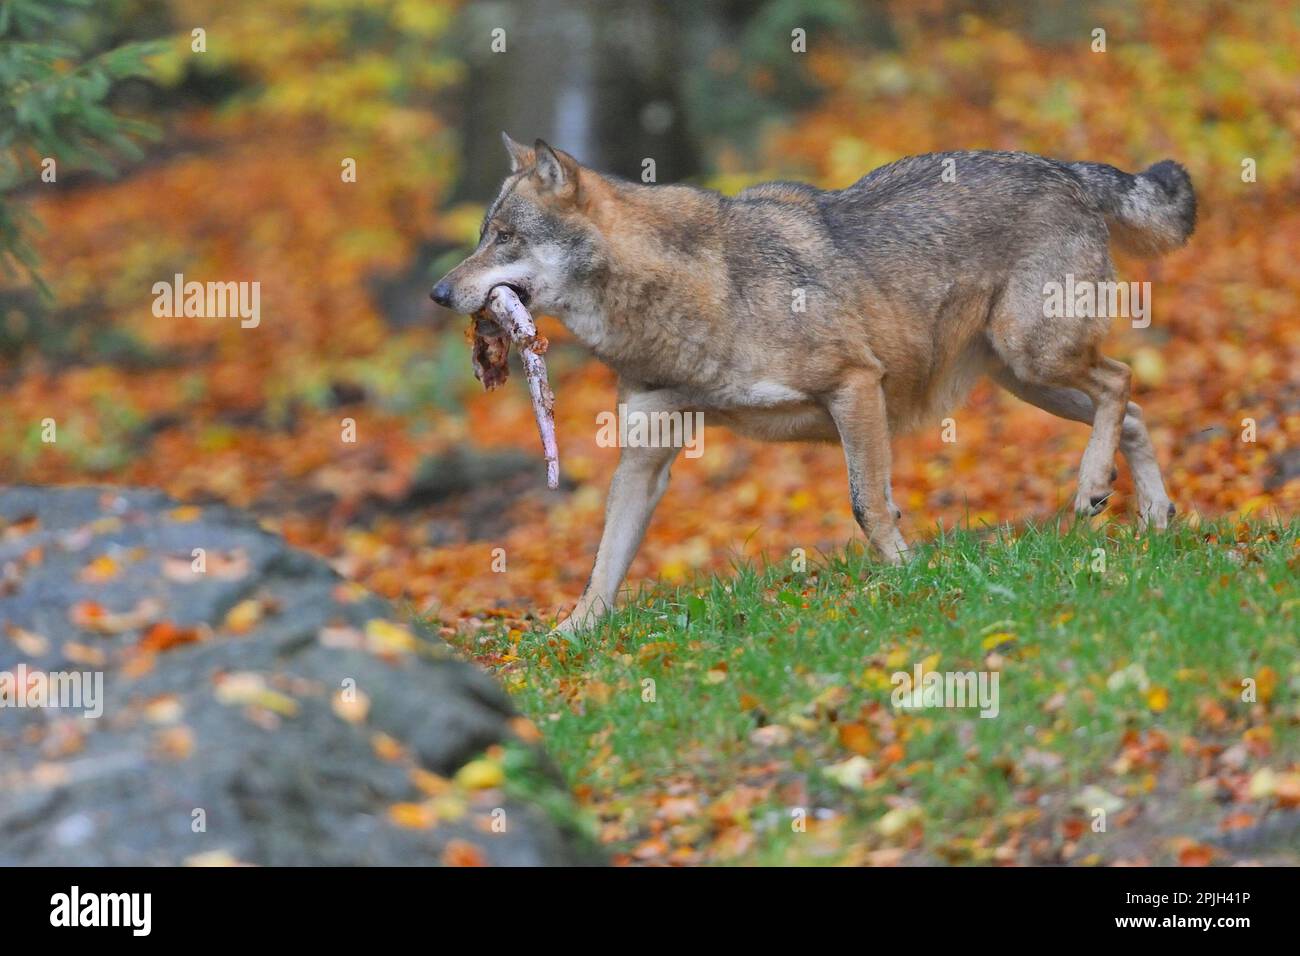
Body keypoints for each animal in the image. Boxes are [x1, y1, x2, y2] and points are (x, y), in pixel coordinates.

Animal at [431, 130, 1190, 632]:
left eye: (504, 238)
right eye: (482, 235)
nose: (438, 293)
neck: (696, 295)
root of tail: (1066, 167)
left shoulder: (855, 387)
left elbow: (868, 505)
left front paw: (910, 580)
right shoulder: (646, 451)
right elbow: (604, 562)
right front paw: (570, 638)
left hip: (1035, 357)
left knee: (1121, 381)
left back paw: (1093, 488)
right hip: (1026, 379)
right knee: (1132, 410)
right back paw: (1153, 518)